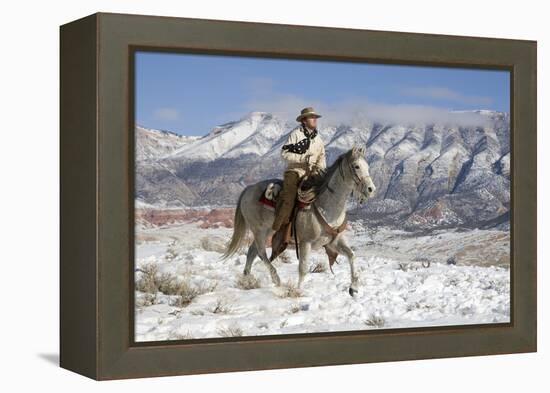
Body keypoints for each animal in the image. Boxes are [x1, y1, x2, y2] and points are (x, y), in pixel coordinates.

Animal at [222, 145, 378, 296]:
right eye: (356, 166)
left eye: (367, 166)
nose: (371, 189)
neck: (325, 205)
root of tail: (248, 189)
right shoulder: (305, 242)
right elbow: (303, 268)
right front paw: (298, 291)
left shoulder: (333, 241)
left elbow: (351, 255)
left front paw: (353, 288)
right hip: (259, 231)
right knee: (261, 252)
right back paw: (276, 279)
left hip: (267, 231)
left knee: (252, 251)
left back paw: (247, 279)